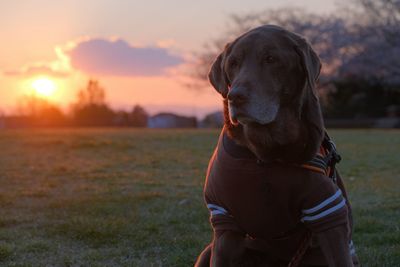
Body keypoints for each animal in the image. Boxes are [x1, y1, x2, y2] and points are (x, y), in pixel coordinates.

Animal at [194, 24, 360, 266]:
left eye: (271, 59)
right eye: (233, 64)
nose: (235, 96)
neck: (267, 151)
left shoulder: (327, 212)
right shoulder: (224, 220)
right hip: (208, 250)